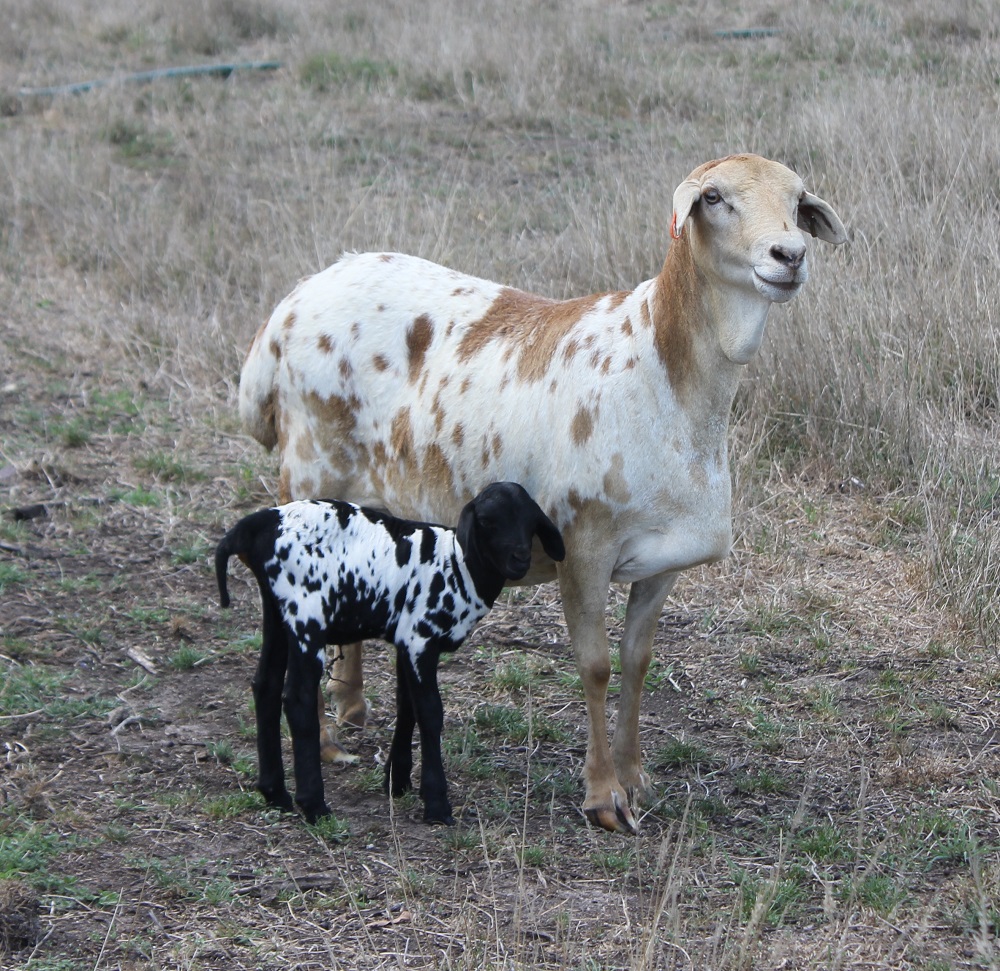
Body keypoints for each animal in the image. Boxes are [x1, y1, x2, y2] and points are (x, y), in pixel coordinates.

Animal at [215, 482, 568, 824]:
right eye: (486, 521)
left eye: (531, 522)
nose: (520, 559)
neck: (459, 565)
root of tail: (255, 526)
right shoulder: (420, 638)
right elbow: (430, 713)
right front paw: (436, 804)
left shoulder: (405, 641)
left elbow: (407, 705)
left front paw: (396, 781)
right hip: (306, 615)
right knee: (298, 698)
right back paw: (314, 805)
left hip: (277, 613)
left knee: (266, 686)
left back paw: (275, 794)